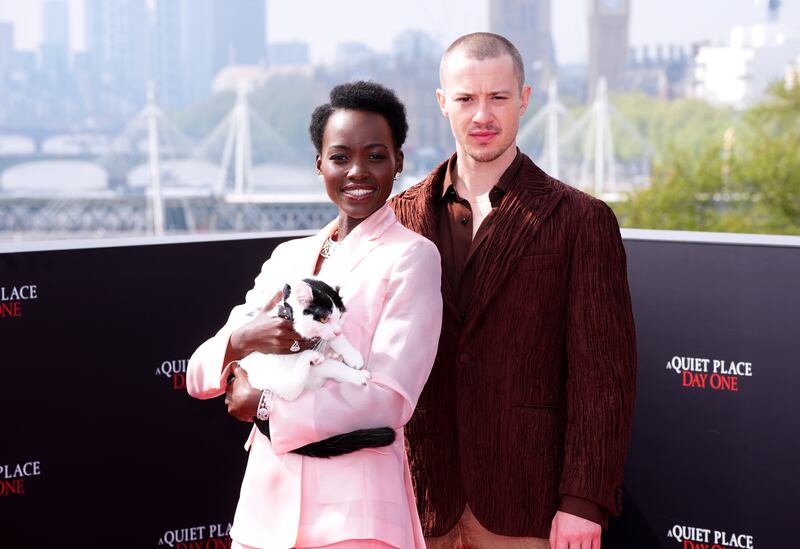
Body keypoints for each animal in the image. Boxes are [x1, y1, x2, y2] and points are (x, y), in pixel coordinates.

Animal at [241, 278, 396, 458]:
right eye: (323, 319)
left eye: (340, 316)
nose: (338, 330)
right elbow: (331, 364)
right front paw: (357, 375)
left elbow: (336, 339)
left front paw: (351, 355)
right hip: (276, 376)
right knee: (294, 387)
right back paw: (315, 358)